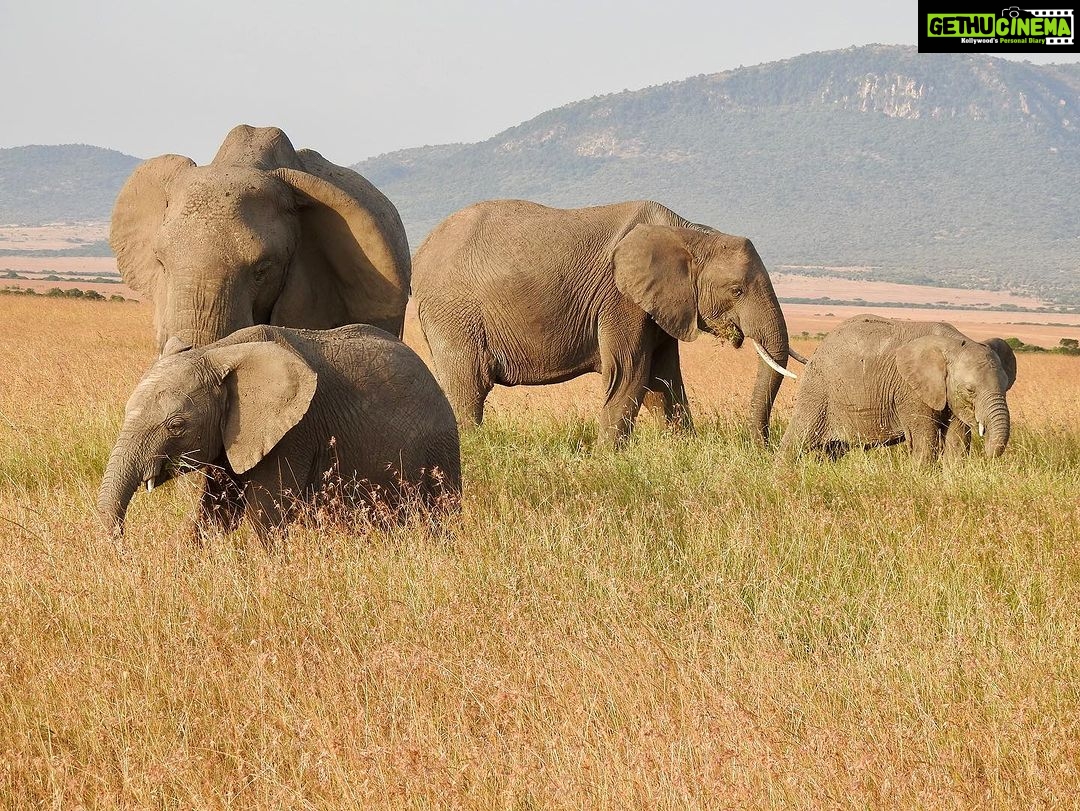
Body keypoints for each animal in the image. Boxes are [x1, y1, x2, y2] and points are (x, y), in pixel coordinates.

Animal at [98, 324, 461, 540]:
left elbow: (266, 516)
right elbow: (215, 514)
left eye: (176, 426)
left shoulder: (295, 434)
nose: (123, 550)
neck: (219, 351)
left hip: (439, 448)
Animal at [412, 199, 801, 448]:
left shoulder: (659, 304)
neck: (692, 233)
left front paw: (685, 451)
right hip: (455, 311)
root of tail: (423, 249)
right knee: (468, 385)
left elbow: (663, 380)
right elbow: (629, 372)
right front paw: (608, 458)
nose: (762, 448)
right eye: (737, 291)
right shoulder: (620, 298)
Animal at [780, 315, 1014, 463]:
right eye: (970, 390)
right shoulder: (910, 390)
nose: (987, 453)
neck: (954, 344)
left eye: (1006, 387)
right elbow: (924, 442)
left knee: (831, 450)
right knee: (796, 441)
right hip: (818, 388)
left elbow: (957, 444)